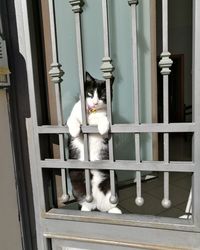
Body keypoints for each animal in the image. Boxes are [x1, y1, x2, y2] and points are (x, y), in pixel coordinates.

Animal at [67, 72, 122, 213]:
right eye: (90, 93)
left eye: (103, 96)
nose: (95, 102)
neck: (91, 112)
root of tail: (96, 202)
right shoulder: (73, 114)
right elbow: (72, 120)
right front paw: (74, 131)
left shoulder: (105, 116)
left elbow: (104, 119)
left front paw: (103, 127)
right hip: (78, 187)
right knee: (85, 203)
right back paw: (85, 209)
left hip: (112, 185)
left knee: (110, 204)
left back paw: (115, 210)